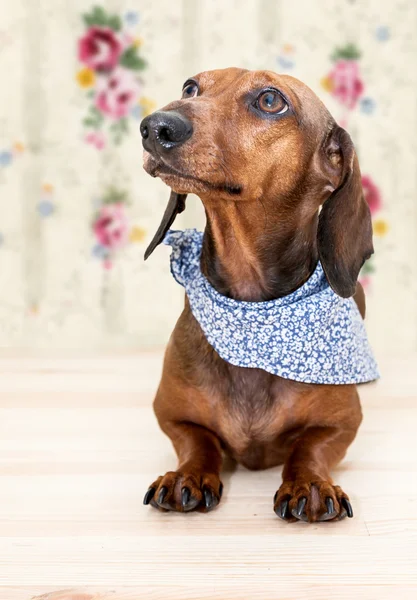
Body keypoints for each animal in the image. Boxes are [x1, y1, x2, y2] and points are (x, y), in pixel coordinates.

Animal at [138, 68, 376, 524]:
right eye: (190, 88)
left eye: (270, 100)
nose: (155, 127)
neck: (253, 313)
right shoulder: (170, 413)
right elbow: (198, 441)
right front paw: (187, 475)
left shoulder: (344, 423)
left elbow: (309, 447)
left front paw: (310, 483)